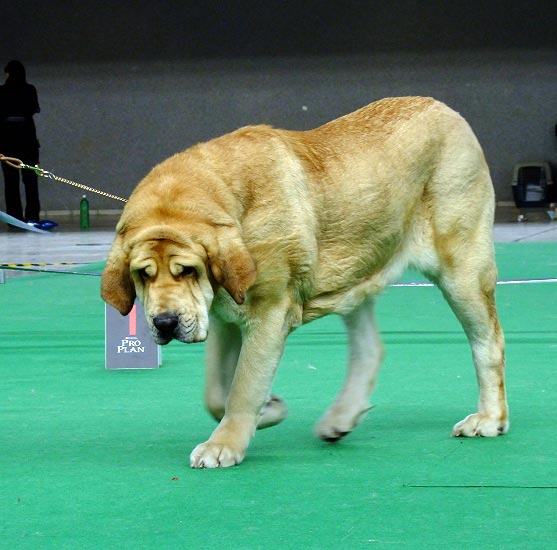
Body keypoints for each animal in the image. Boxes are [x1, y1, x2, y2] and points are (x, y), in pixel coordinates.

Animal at [101, 97, 508, 468]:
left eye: (187, 270)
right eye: (142, 274)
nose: (165, 322)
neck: (232, 205)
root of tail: (446, 109)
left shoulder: (267, 311)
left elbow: (244, 385)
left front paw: (224, 444)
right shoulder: (221, 315)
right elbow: (216, 393)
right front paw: (269, 409)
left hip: (462, 271)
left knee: (488, 342)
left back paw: (489, 419)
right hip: (356, 271)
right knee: (369, 349)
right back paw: (341, 418)